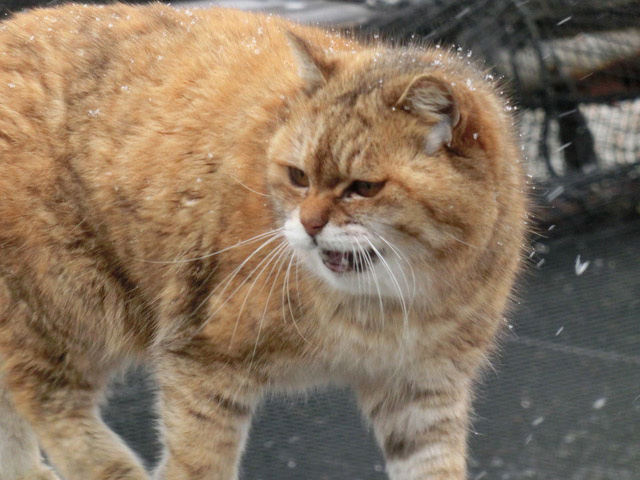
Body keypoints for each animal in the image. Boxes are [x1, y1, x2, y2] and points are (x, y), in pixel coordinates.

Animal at [0, 1, 528, 478]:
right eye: (298, 176)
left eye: (363, 187)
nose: (309, 225)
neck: (387, 306)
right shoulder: (202, 361)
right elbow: (198, 463)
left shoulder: (423, 392)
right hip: (66, 301)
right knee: (46, 399)